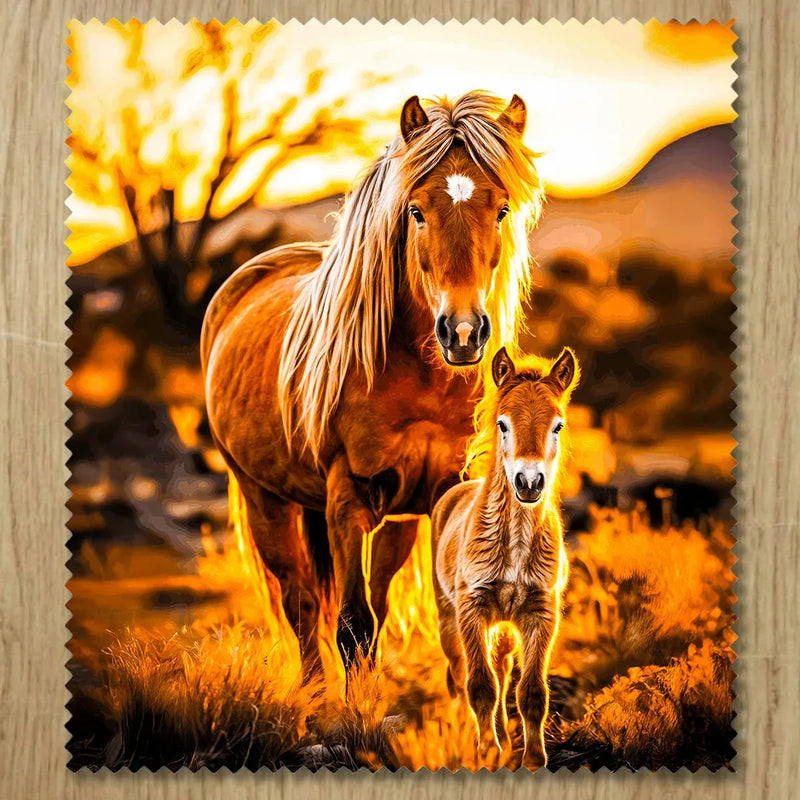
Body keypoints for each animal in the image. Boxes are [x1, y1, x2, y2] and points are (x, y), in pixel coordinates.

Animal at [200, 92, 544, 682]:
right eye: (416, 210)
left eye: (500, 210)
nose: (463, 333)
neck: (418, 376)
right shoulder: (348, 497)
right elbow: (352, 627)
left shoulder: (428, 496)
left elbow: (409, 621)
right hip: (263, 496)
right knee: (300, 603)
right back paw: (315, 697)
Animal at [431, 346, 578, 769]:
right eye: (502, 424)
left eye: (558, 426)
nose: (528, 483)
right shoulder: (472, 609)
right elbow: (479, 685)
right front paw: (485, 752)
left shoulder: (541, 613)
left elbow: (531, 692)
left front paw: (531, 758)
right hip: (449, 621)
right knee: (460, 675)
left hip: (505, 630)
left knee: (502, 669)